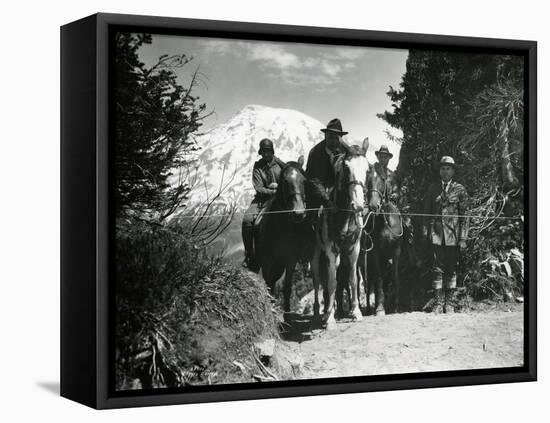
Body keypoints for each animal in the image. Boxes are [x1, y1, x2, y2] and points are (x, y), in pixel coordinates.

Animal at [258, 157, 314, 314]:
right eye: (284, 181)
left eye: (304, 180)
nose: (299, 213)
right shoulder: (267, 259)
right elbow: (268, 285)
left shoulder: (291, 259)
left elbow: (287, 287)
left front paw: (287, 312)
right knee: (269, 283)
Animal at [310, 139, 370, 332]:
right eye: (346, 168)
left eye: (367, 169)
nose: (358, 205)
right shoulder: (331, 250)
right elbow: (331, 282)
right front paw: (329, 319)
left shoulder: (354, 249)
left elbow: (353, 279)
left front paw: (356, 312)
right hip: (316, 253)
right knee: (318, 280)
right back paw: (319, 313)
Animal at [362, 166, 406, 314]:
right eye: (368, 180)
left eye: (382, 180)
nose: (373, 206)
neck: (385, 221)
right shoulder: (376, 253)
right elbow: (379, 279)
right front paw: (380, 308)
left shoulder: (396, 252)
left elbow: (395, 277)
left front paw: (397, 307)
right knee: (367, 282)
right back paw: (369, 308)